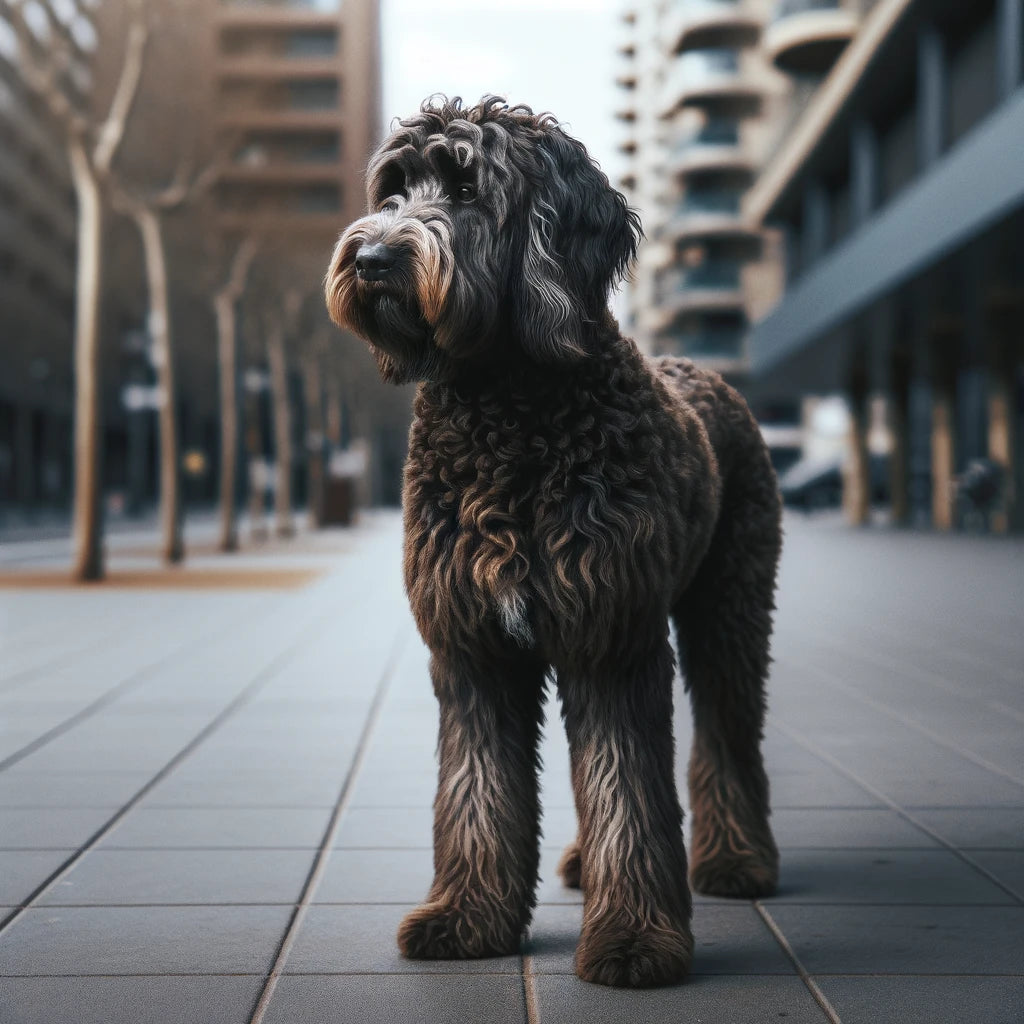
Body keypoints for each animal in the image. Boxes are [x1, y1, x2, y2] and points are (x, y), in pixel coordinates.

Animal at [323, 97, 778, 991]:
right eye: (393, 189)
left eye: (467, 187)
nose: (371, 257)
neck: (507, 409)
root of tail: (705, 370)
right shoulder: (475, 647)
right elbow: (476, 788)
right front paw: (466, 919)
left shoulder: (612, 638)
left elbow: (628, 788)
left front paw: (635, 938)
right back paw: (582, 863)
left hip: (730, 609)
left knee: (727, 735)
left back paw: (736, 860)